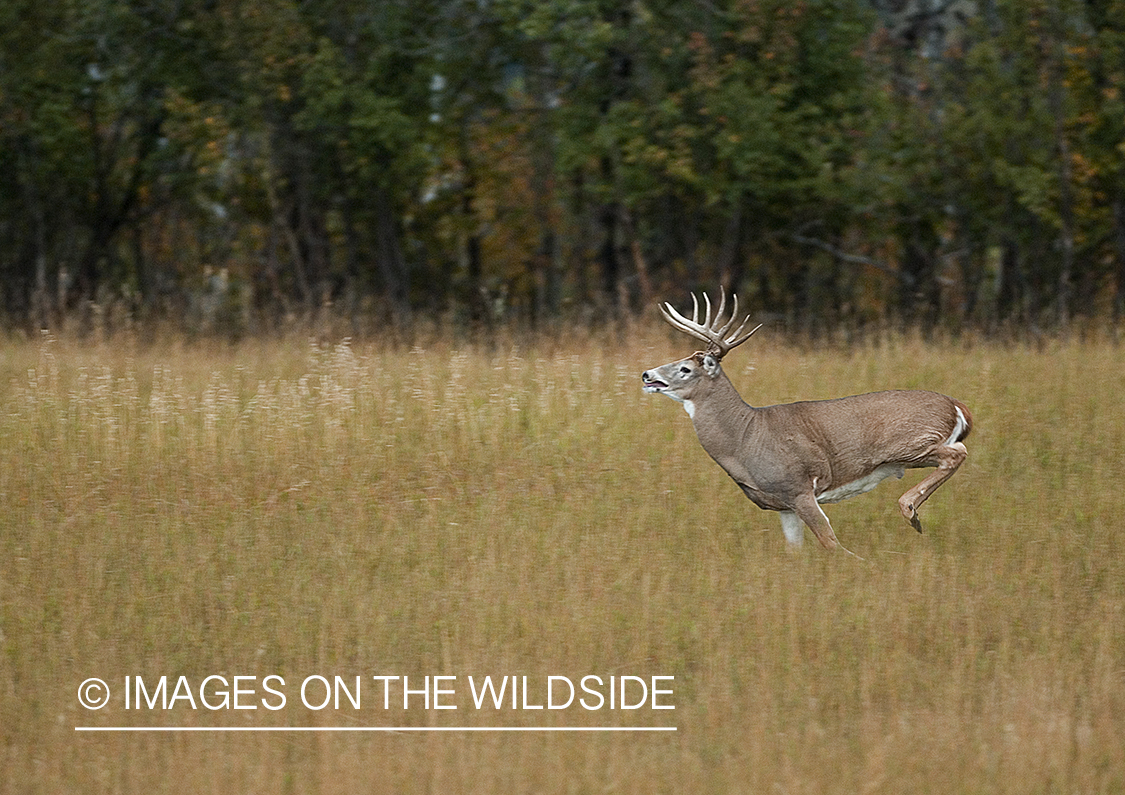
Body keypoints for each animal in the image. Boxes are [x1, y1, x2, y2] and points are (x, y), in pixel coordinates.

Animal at [648, 292, 972, 553]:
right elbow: (795, 550)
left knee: (956, 453)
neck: (746, 437)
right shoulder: (784, 504)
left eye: (685, 368)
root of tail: (957, 406)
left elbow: (831, 543)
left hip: (909, 444)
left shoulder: (800, 486)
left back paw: (911, 511)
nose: (647, 375)